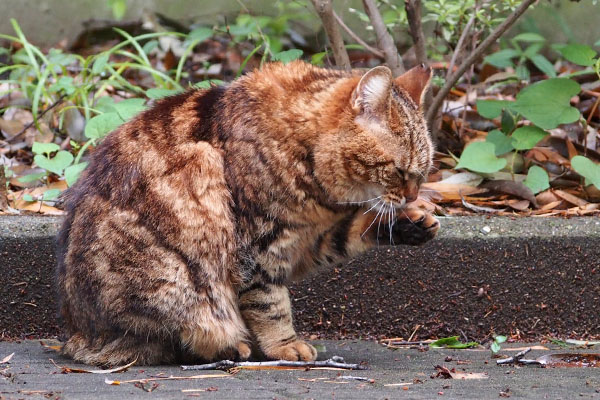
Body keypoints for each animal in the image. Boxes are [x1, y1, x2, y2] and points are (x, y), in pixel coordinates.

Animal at [56, 60, 440, 366]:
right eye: (399, 171)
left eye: (423, 173)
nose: (412, 194)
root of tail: (77, 336)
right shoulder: (260, 247)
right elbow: (270, 303)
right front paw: (284, 346)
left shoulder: (308, 240)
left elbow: (352, 231)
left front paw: (412, 221)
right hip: (174, 275)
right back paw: (231, 346)